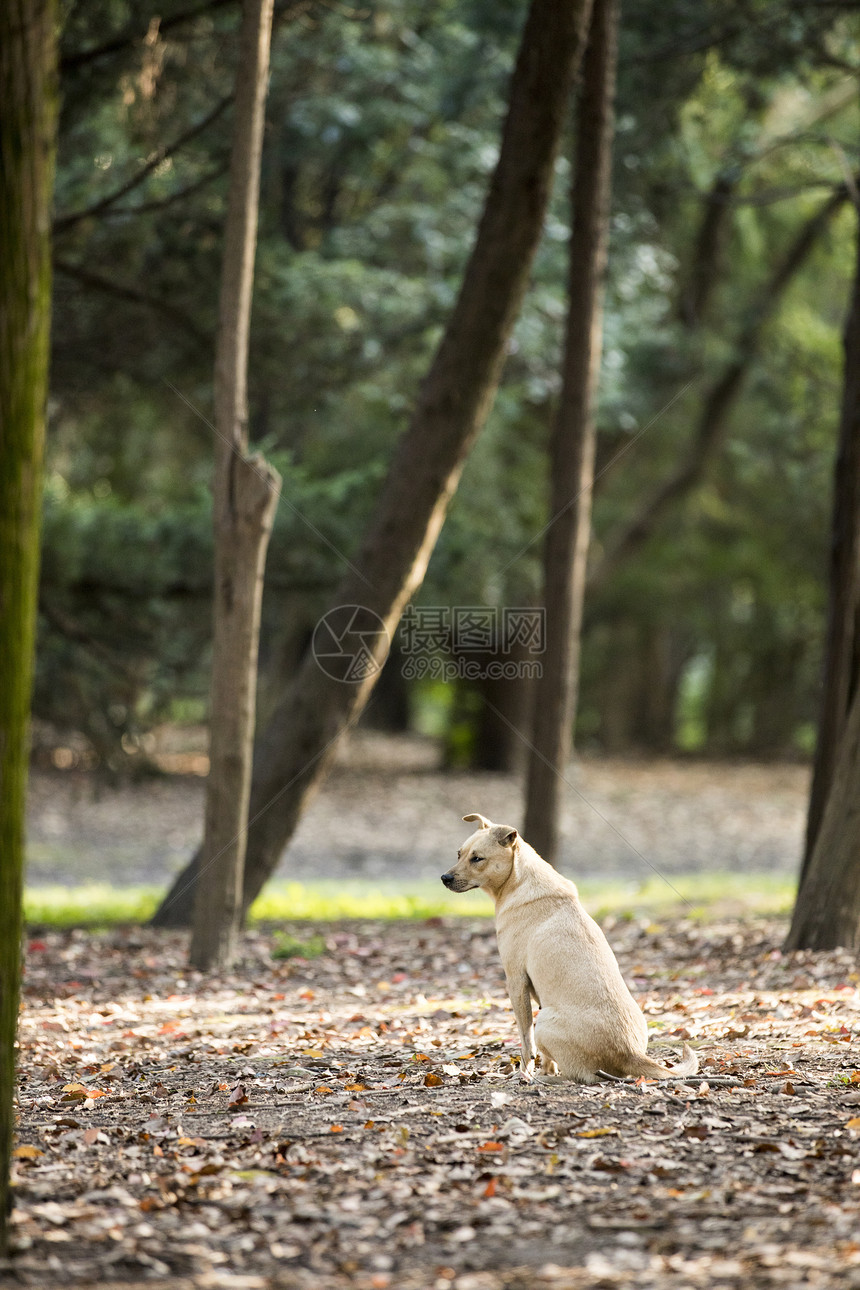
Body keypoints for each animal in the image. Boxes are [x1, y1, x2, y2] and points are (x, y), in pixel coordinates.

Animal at [440, 815, 696, 1078]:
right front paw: (545, 1070)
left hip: (543, 1022)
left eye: (477, 858)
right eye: (459, 854)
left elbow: (525, 1040)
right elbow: (545, 1057)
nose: (444, 878)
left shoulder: (516, 981)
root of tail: (631, 1054)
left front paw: (524, 1073)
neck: (517, 882)